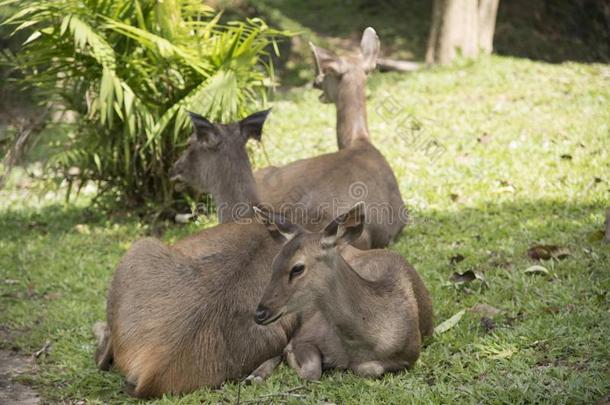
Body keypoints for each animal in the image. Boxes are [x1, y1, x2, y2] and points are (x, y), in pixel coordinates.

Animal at [251, 204, 432, 380]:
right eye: (274, 263)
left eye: (298, 268)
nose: (260, 313)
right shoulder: (306, 334)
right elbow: (309, 369)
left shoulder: (411, 353)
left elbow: (370, 368)